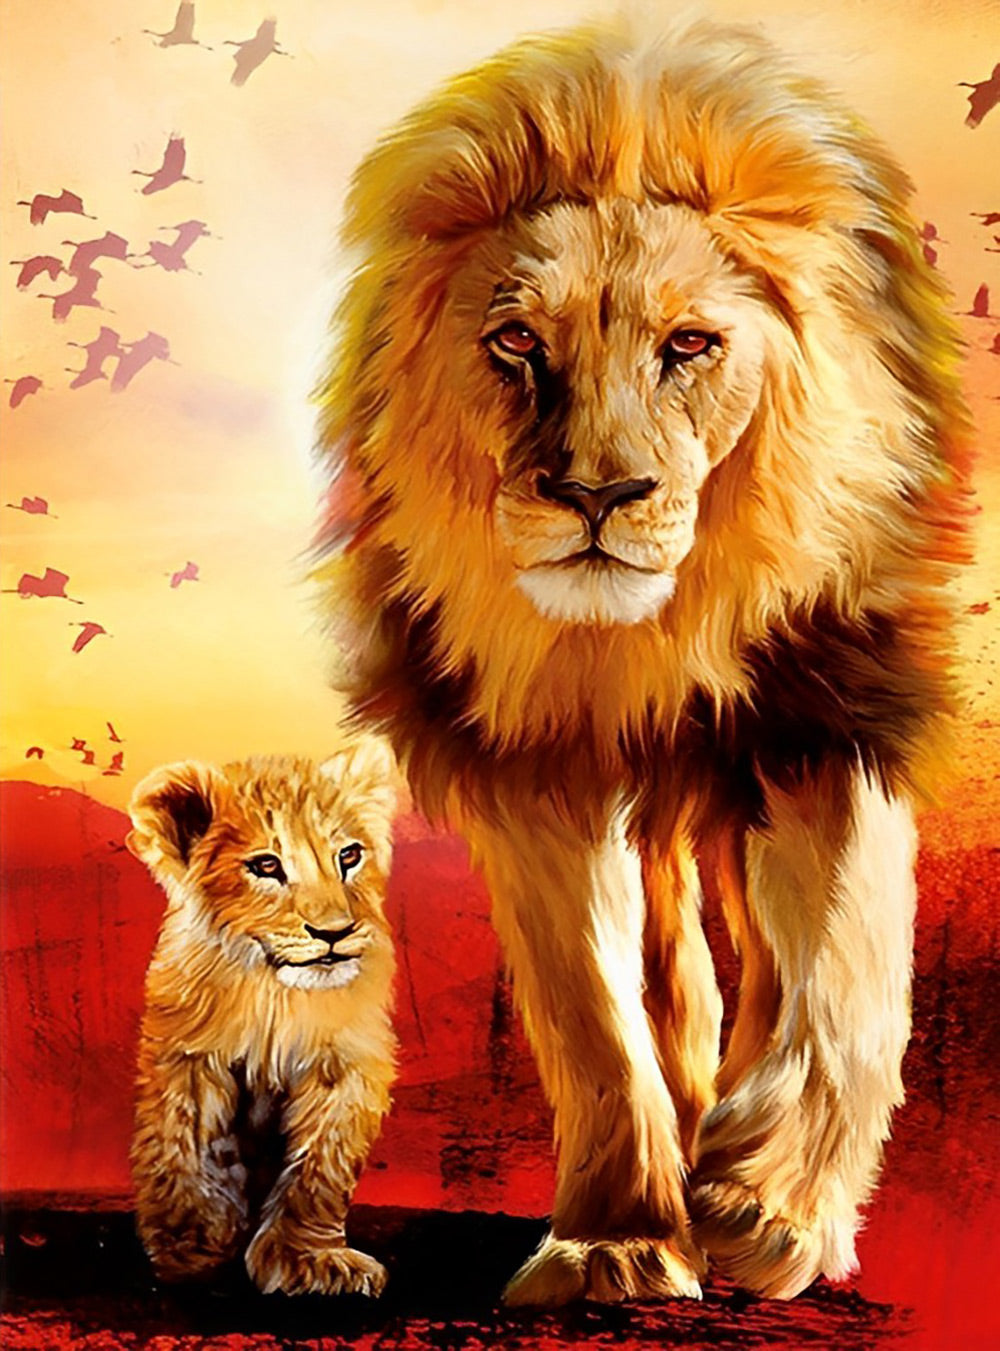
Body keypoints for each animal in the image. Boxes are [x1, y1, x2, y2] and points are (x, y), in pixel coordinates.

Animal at [127, 742, 397, 1296]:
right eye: (267, 865)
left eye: (349, 856)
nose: (335, 933)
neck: (277, 995)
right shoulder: (191, 1055)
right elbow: (183, 1144)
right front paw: (190, 1244)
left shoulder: (345, 1068)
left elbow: (320, 1169)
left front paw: (308, 1259)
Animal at [314, 18, 970, 1306]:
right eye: (517, 340)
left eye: (690, 345)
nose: (596, 494)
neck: (639, 644)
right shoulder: (530, 761)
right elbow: (593, 1017)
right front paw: (616, 1238)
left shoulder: (830, 705)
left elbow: (844, 967)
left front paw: (766, 1205)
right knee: (677, 974)